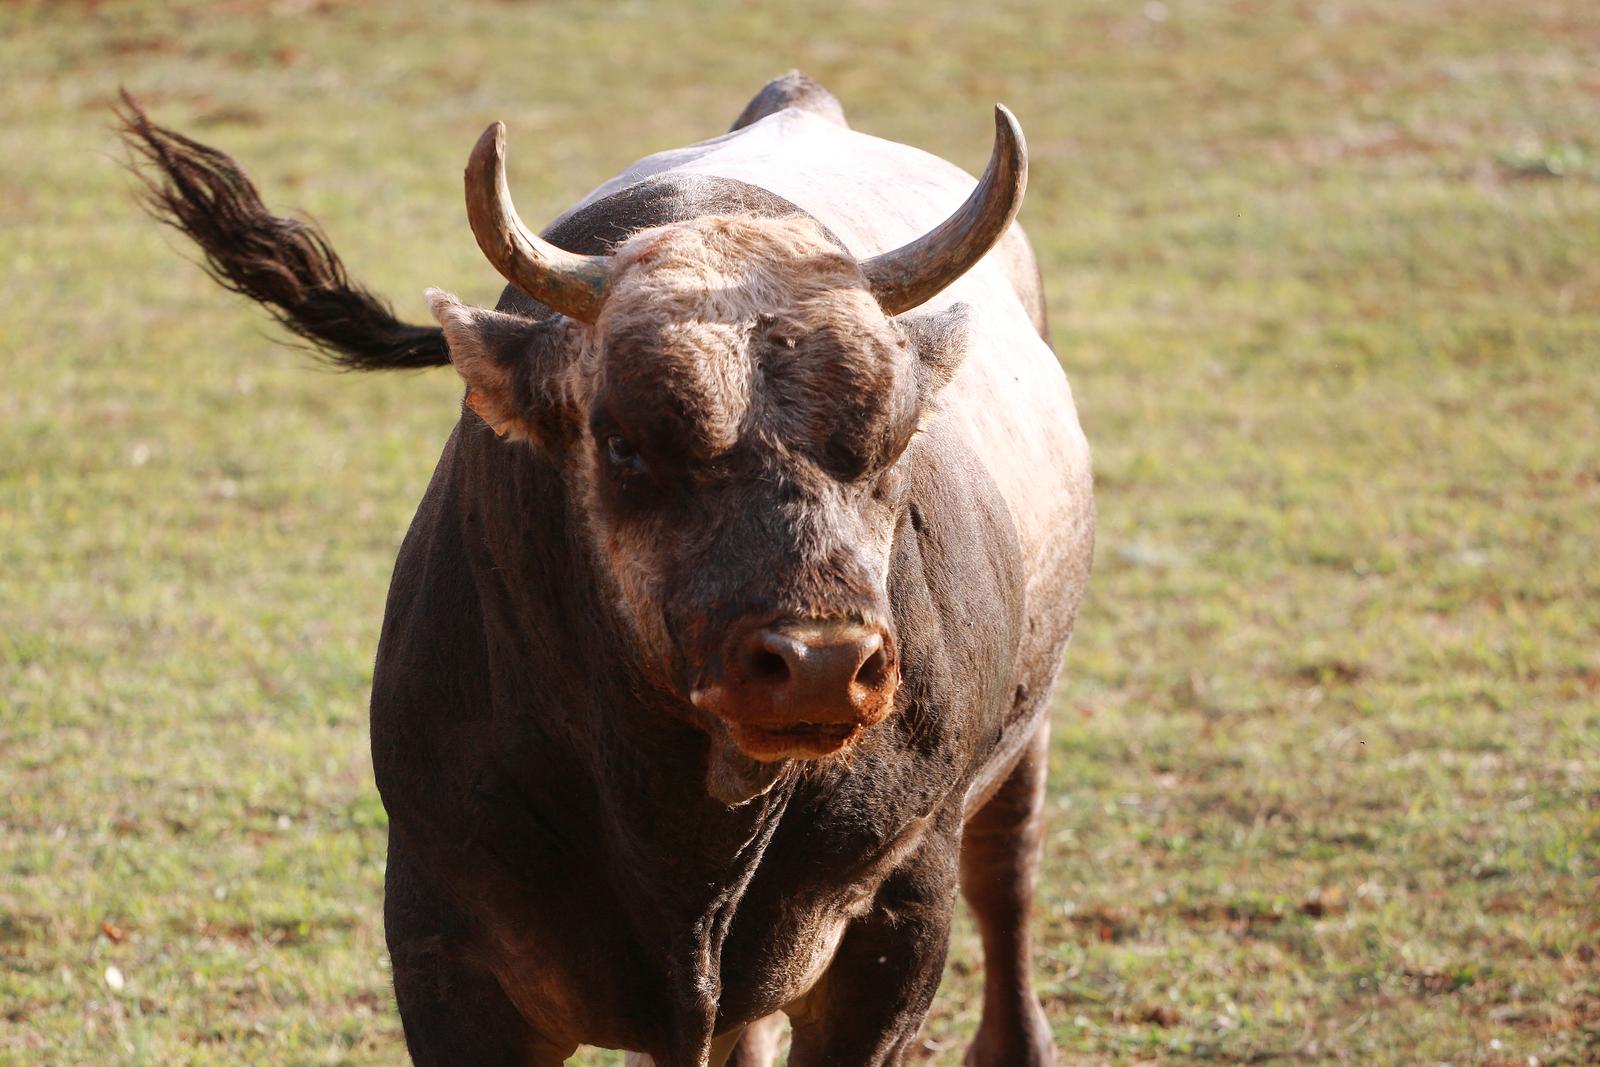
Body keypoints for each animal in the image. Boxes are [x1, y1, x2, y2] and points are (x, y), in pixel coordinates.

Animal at [121, 75, 1100, 1067]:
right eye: (624, 443)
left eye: (893, 439)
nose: (820, 663)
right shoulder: (445, 943)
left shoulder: (897, 925)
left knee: (1007, 867)